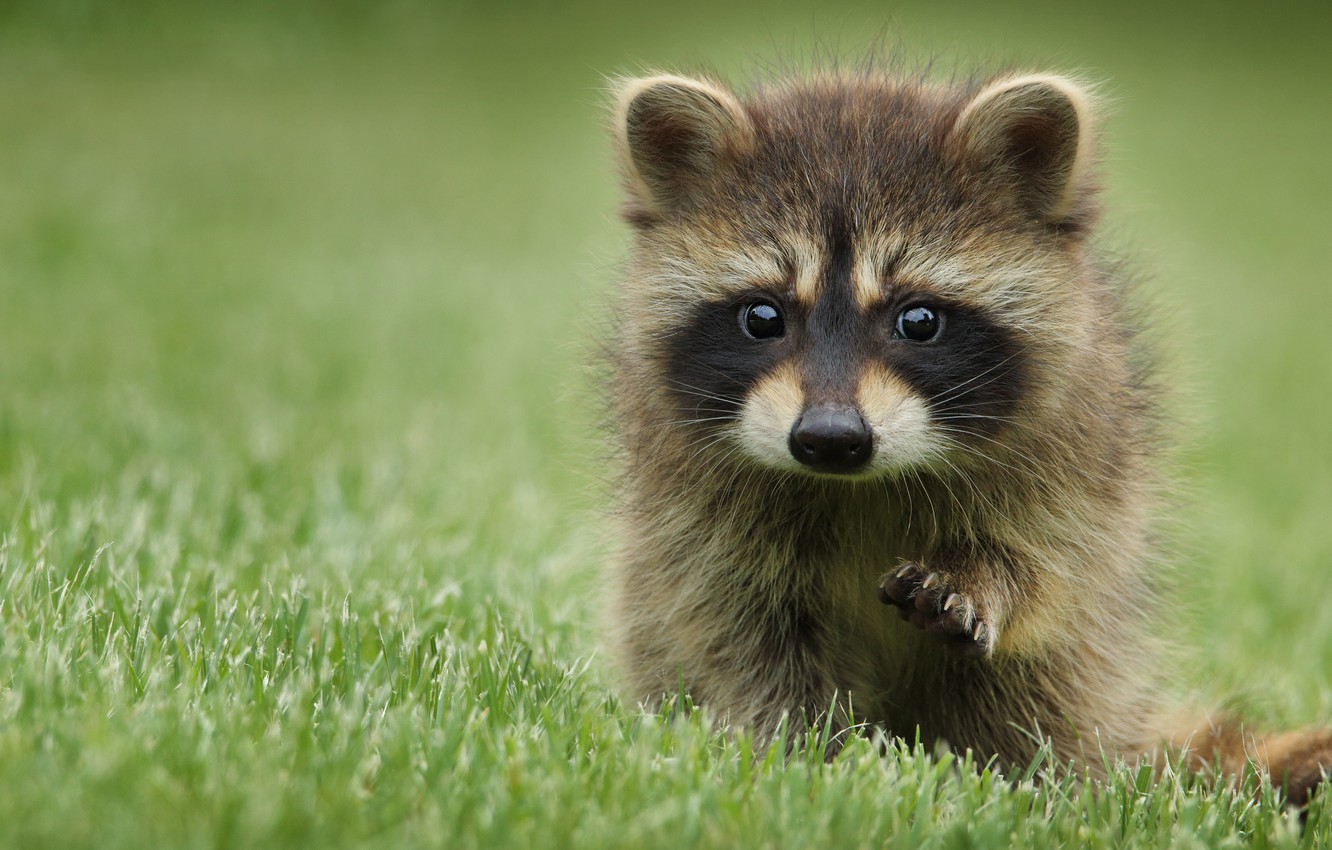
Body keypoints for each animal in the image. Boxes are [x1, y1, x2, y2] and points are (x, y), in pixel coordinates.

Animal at [607, 68, 1332, 804]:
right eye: (762, 317)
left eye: (919, 320)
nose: (830, 438)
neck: (861, 483)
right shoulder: (696, 511)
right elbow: (741, 633)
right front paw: (804, 758)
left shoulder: (1079, 446)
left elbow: (1051, 565)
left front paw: (988, 579)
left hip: (1094, 670)